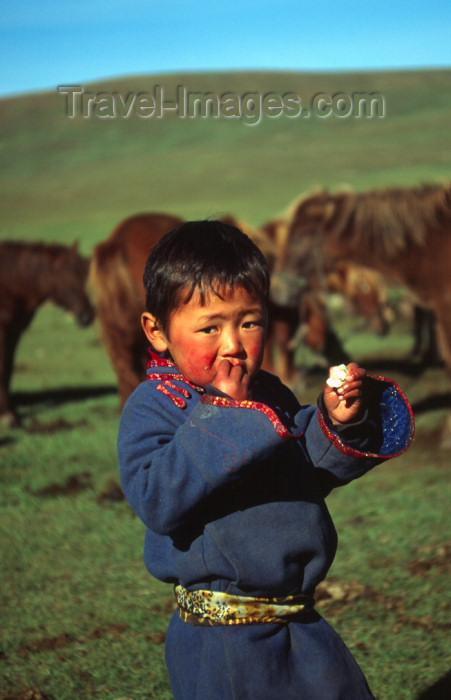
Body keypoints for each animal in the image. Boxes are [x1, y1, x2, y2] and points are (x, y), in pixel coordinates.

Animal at [0, 241, 93, 426]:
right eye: (64, 276)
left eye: (84, 275)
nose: (86, 316)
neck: (8, 286)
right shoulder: (3, 330)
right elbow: (1, 368)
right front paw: (6, 414)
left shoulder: (14, 330)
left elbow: (7, 368)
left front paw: (11, 412)